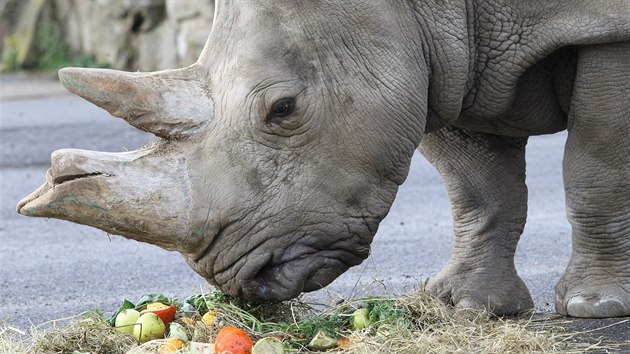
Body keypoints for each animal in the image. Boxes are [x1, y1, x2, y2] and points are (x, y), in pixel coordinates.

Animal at [17, 0, 628, 318]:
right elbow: (477, 185)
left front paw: (592, 307)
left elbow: (595, 166)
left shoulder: (608, 29)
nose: (246, 283)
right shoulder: (447, 53)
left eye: (283, 109)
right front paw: (467, 306)